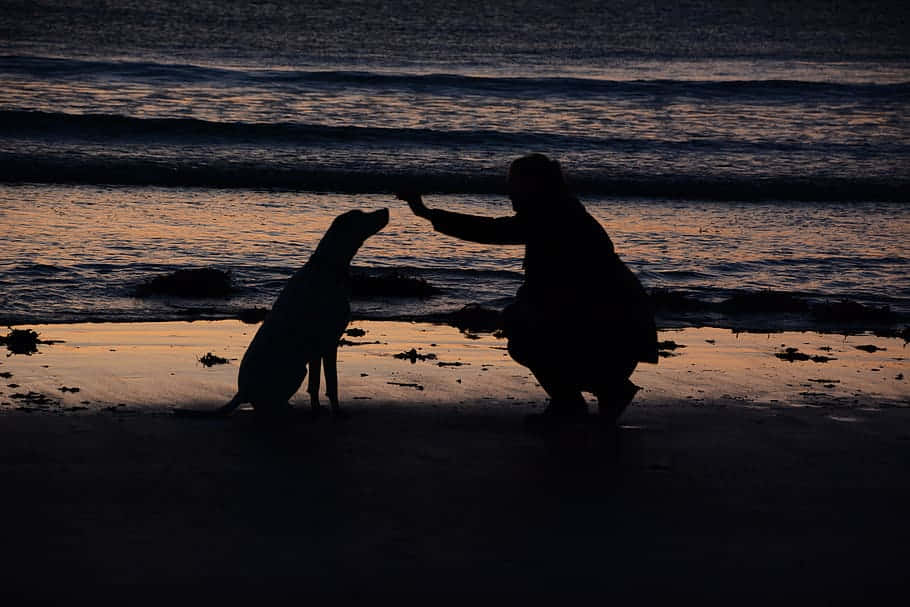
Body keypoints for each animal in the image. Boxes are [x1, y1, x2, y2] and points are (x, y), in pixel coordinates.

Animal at [176, 209, 390, 418]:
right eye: (361, 215)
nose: (386, 210)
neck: (327, 267)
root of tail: (242, 392)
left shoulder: (317, 349)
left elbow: (315, 385)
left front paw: (317, 409)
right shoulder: (330, 343)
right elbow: (332, 384)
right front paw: (336, 412)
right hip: (296, 370)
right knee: (266, 406)